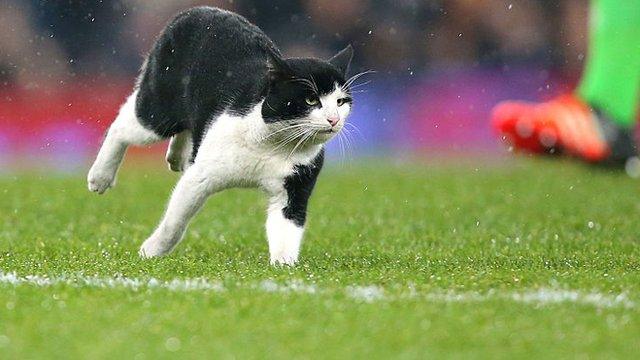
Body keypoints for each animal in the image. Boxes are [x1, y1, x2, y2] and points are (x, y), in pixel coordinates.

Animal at [85, 5, 356, 264]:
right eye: (311, 100)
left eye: (341, 101)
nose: (334, 119)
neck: (273, 144)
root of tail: (197, 10)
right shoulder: (199, 178)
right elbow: (174, 222)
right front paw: (150, 251)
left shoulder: (295, 188)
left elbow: (286, 231)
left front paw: (285, 268)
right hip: (158, 111)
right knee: (122, 125)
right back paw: (100, 177)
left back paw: (176, 156)